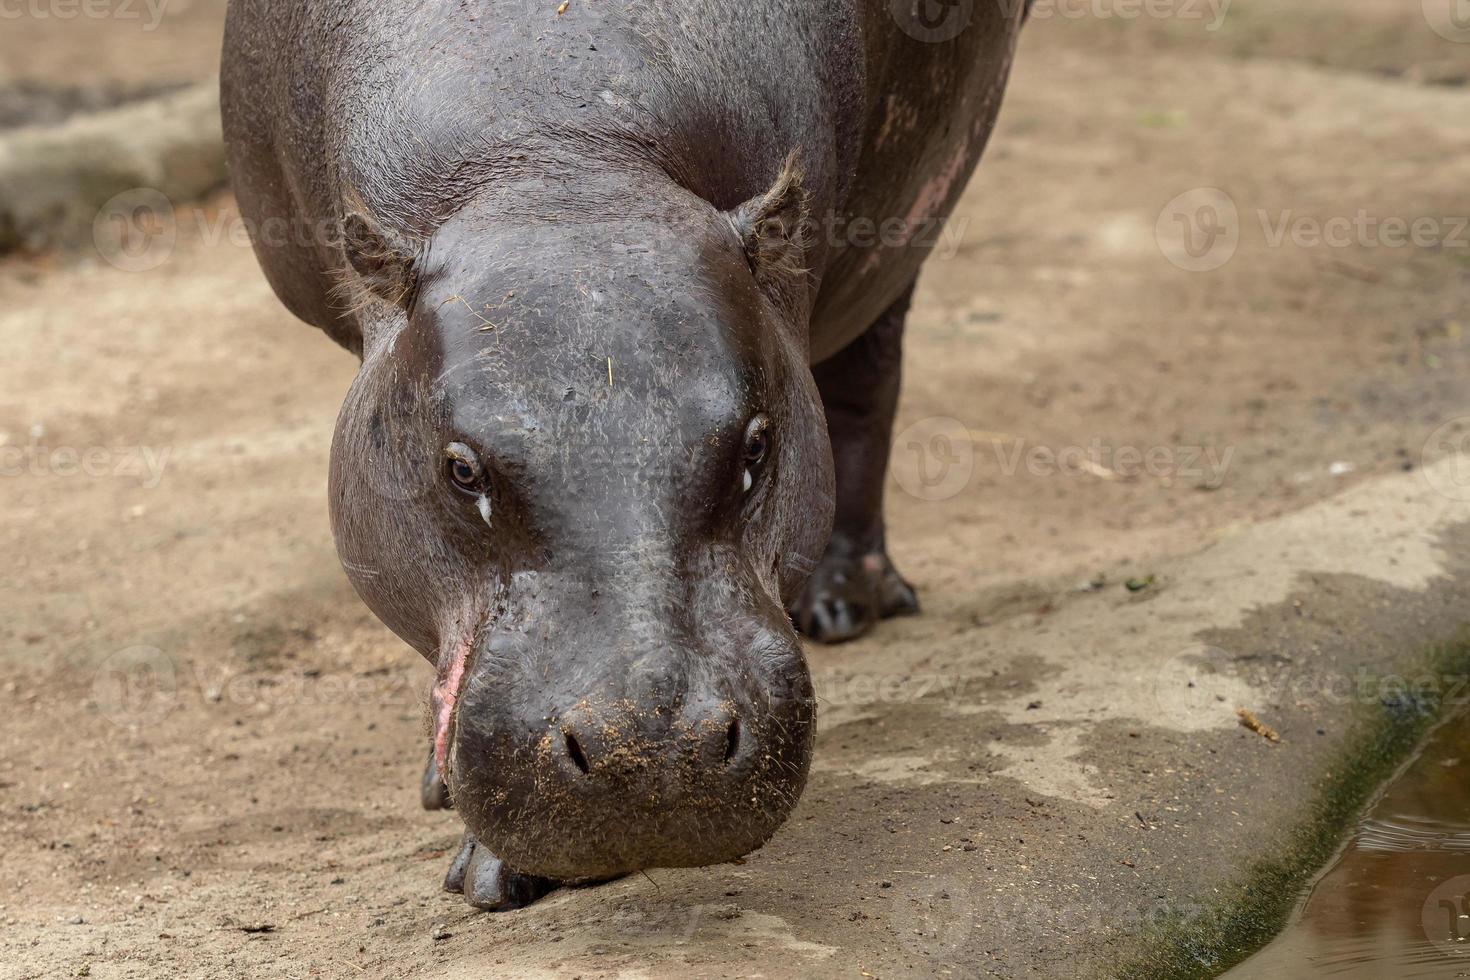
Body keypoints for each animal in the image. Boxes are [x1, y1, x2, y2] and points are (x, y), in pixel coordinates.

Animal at [220, 0, 1023, 910]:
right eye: (461, 470)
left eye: (757, 444)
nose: (653, 752)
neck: (559, 158)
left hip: (906, 223)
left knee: (867, 382)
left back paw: (846, 603)